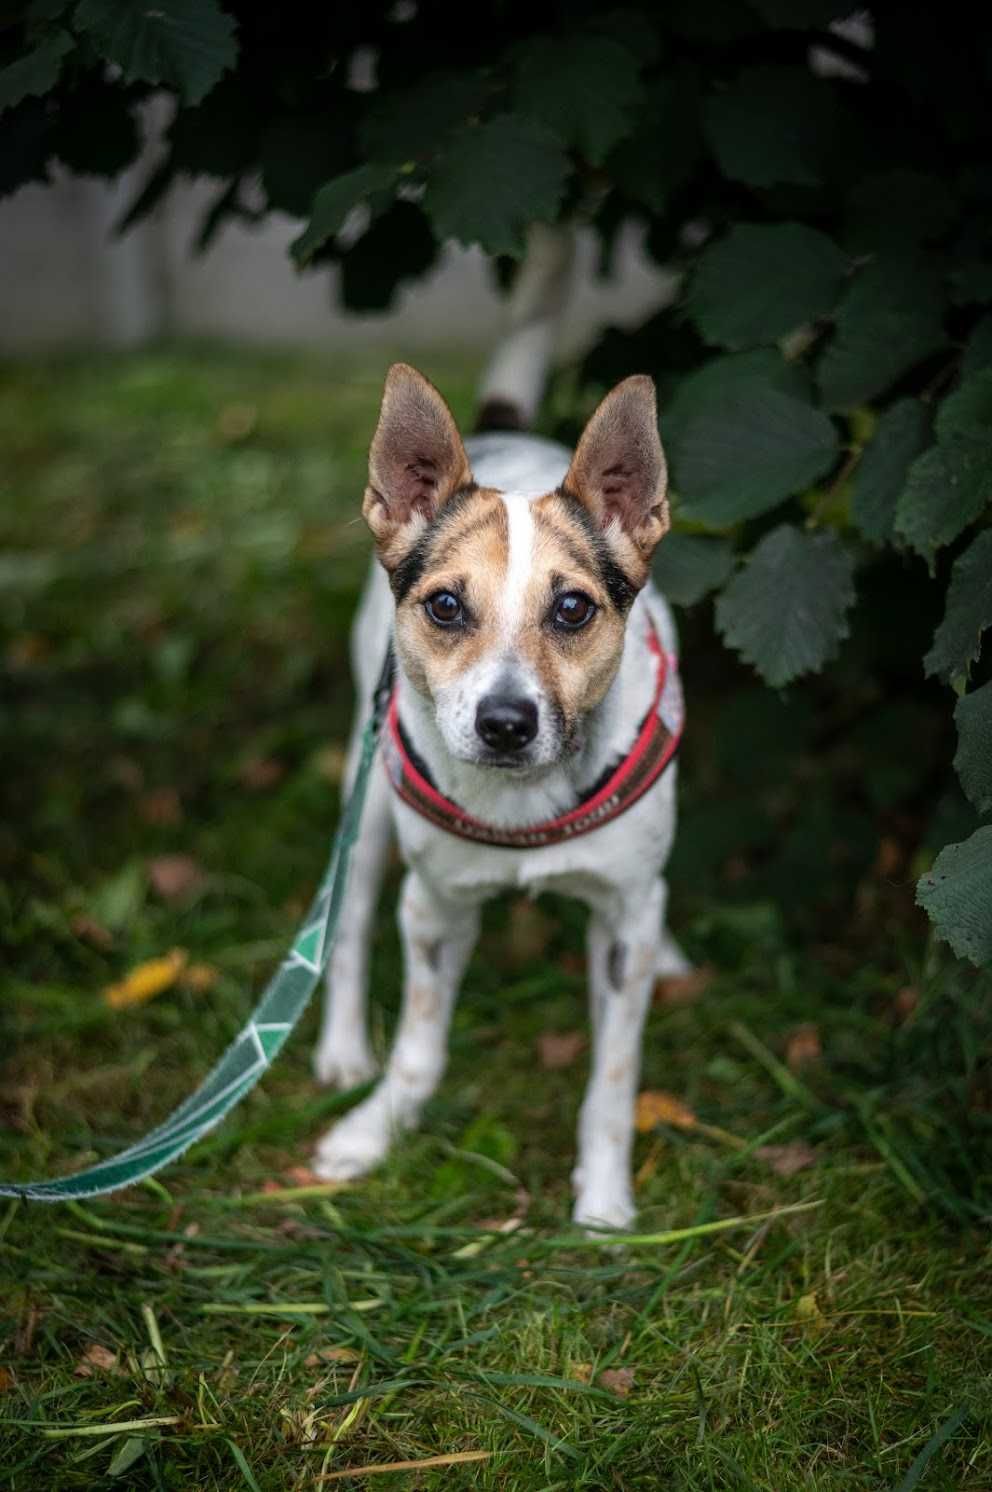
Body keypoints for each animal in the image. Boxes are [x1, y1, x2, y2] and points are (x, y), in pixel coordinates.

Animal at [313, 223, 686, 1223]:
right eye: (446, 606)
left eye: (573, 609)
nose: (507, 723)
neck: (525, 809)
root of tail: (502, 427)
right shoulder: (434, 908)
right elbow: (418, 1048)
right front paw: (373, 1132)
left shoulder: (623, 927)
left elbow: (614, 1079)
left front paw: (604, 1205)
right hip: (366, 803)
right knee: (347, 925)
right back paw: (339, 1051)